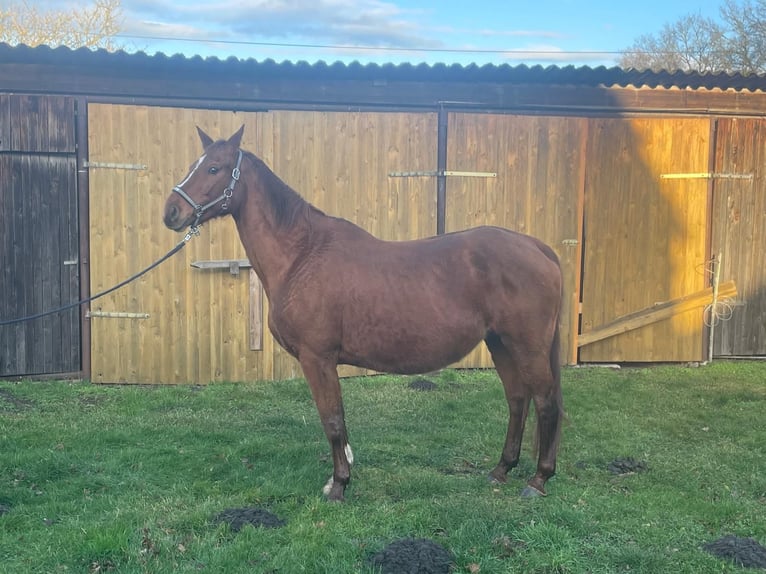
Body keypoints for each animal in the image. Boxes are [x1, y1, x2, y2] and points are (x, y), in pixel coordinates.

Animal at [165, 127, 568, 504]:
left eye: (214, 168)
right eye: (195, 165)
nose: (171, 212)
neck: (302, 255)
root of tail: (537, 247)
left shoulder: (317, 358)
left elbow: (331, 420)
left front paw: (339, 486)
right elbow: (338, 421)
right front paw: (340, 477)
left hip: (527, 347)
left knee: (546, 402)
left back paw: (538, 480)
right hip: (500, 343)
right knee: (517, 399)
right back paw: (501, 469)